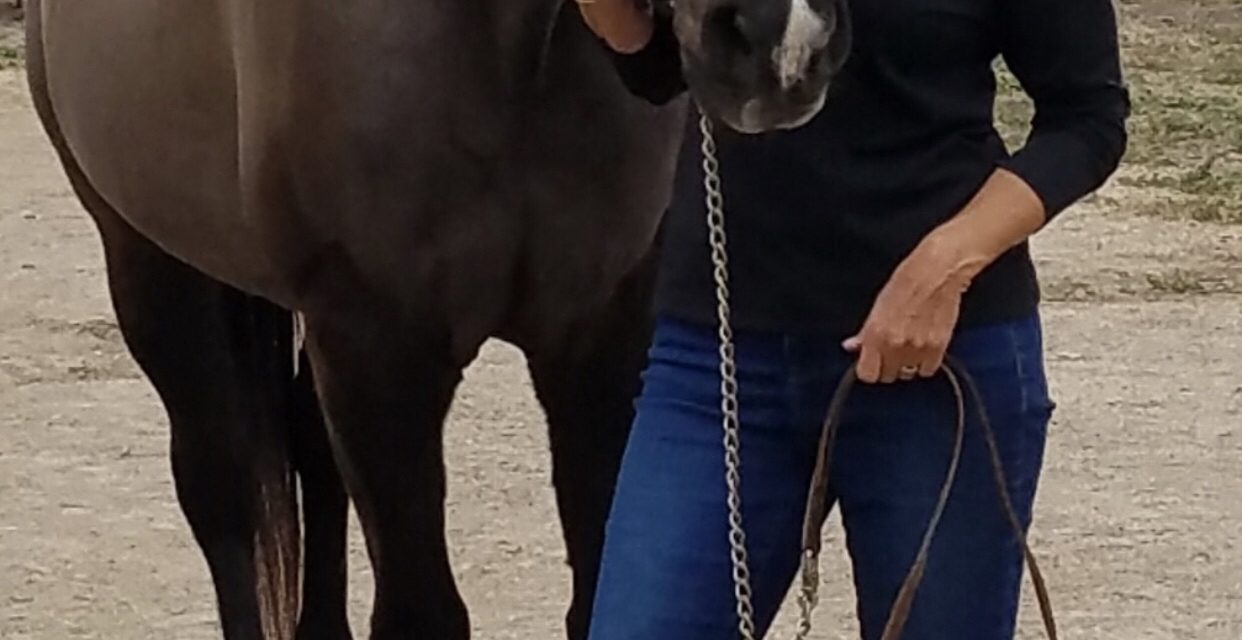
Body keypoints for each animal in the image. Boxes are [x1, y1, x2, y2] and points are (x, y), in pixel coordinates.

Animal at [24, 0, 849, 637]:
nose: (784, 45)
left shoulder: (597, 346)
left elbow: (596, 589)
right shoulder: (380, 357)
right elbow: (420, 614)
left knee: (311, 460)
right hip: (150, 267)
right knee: (225, 496)